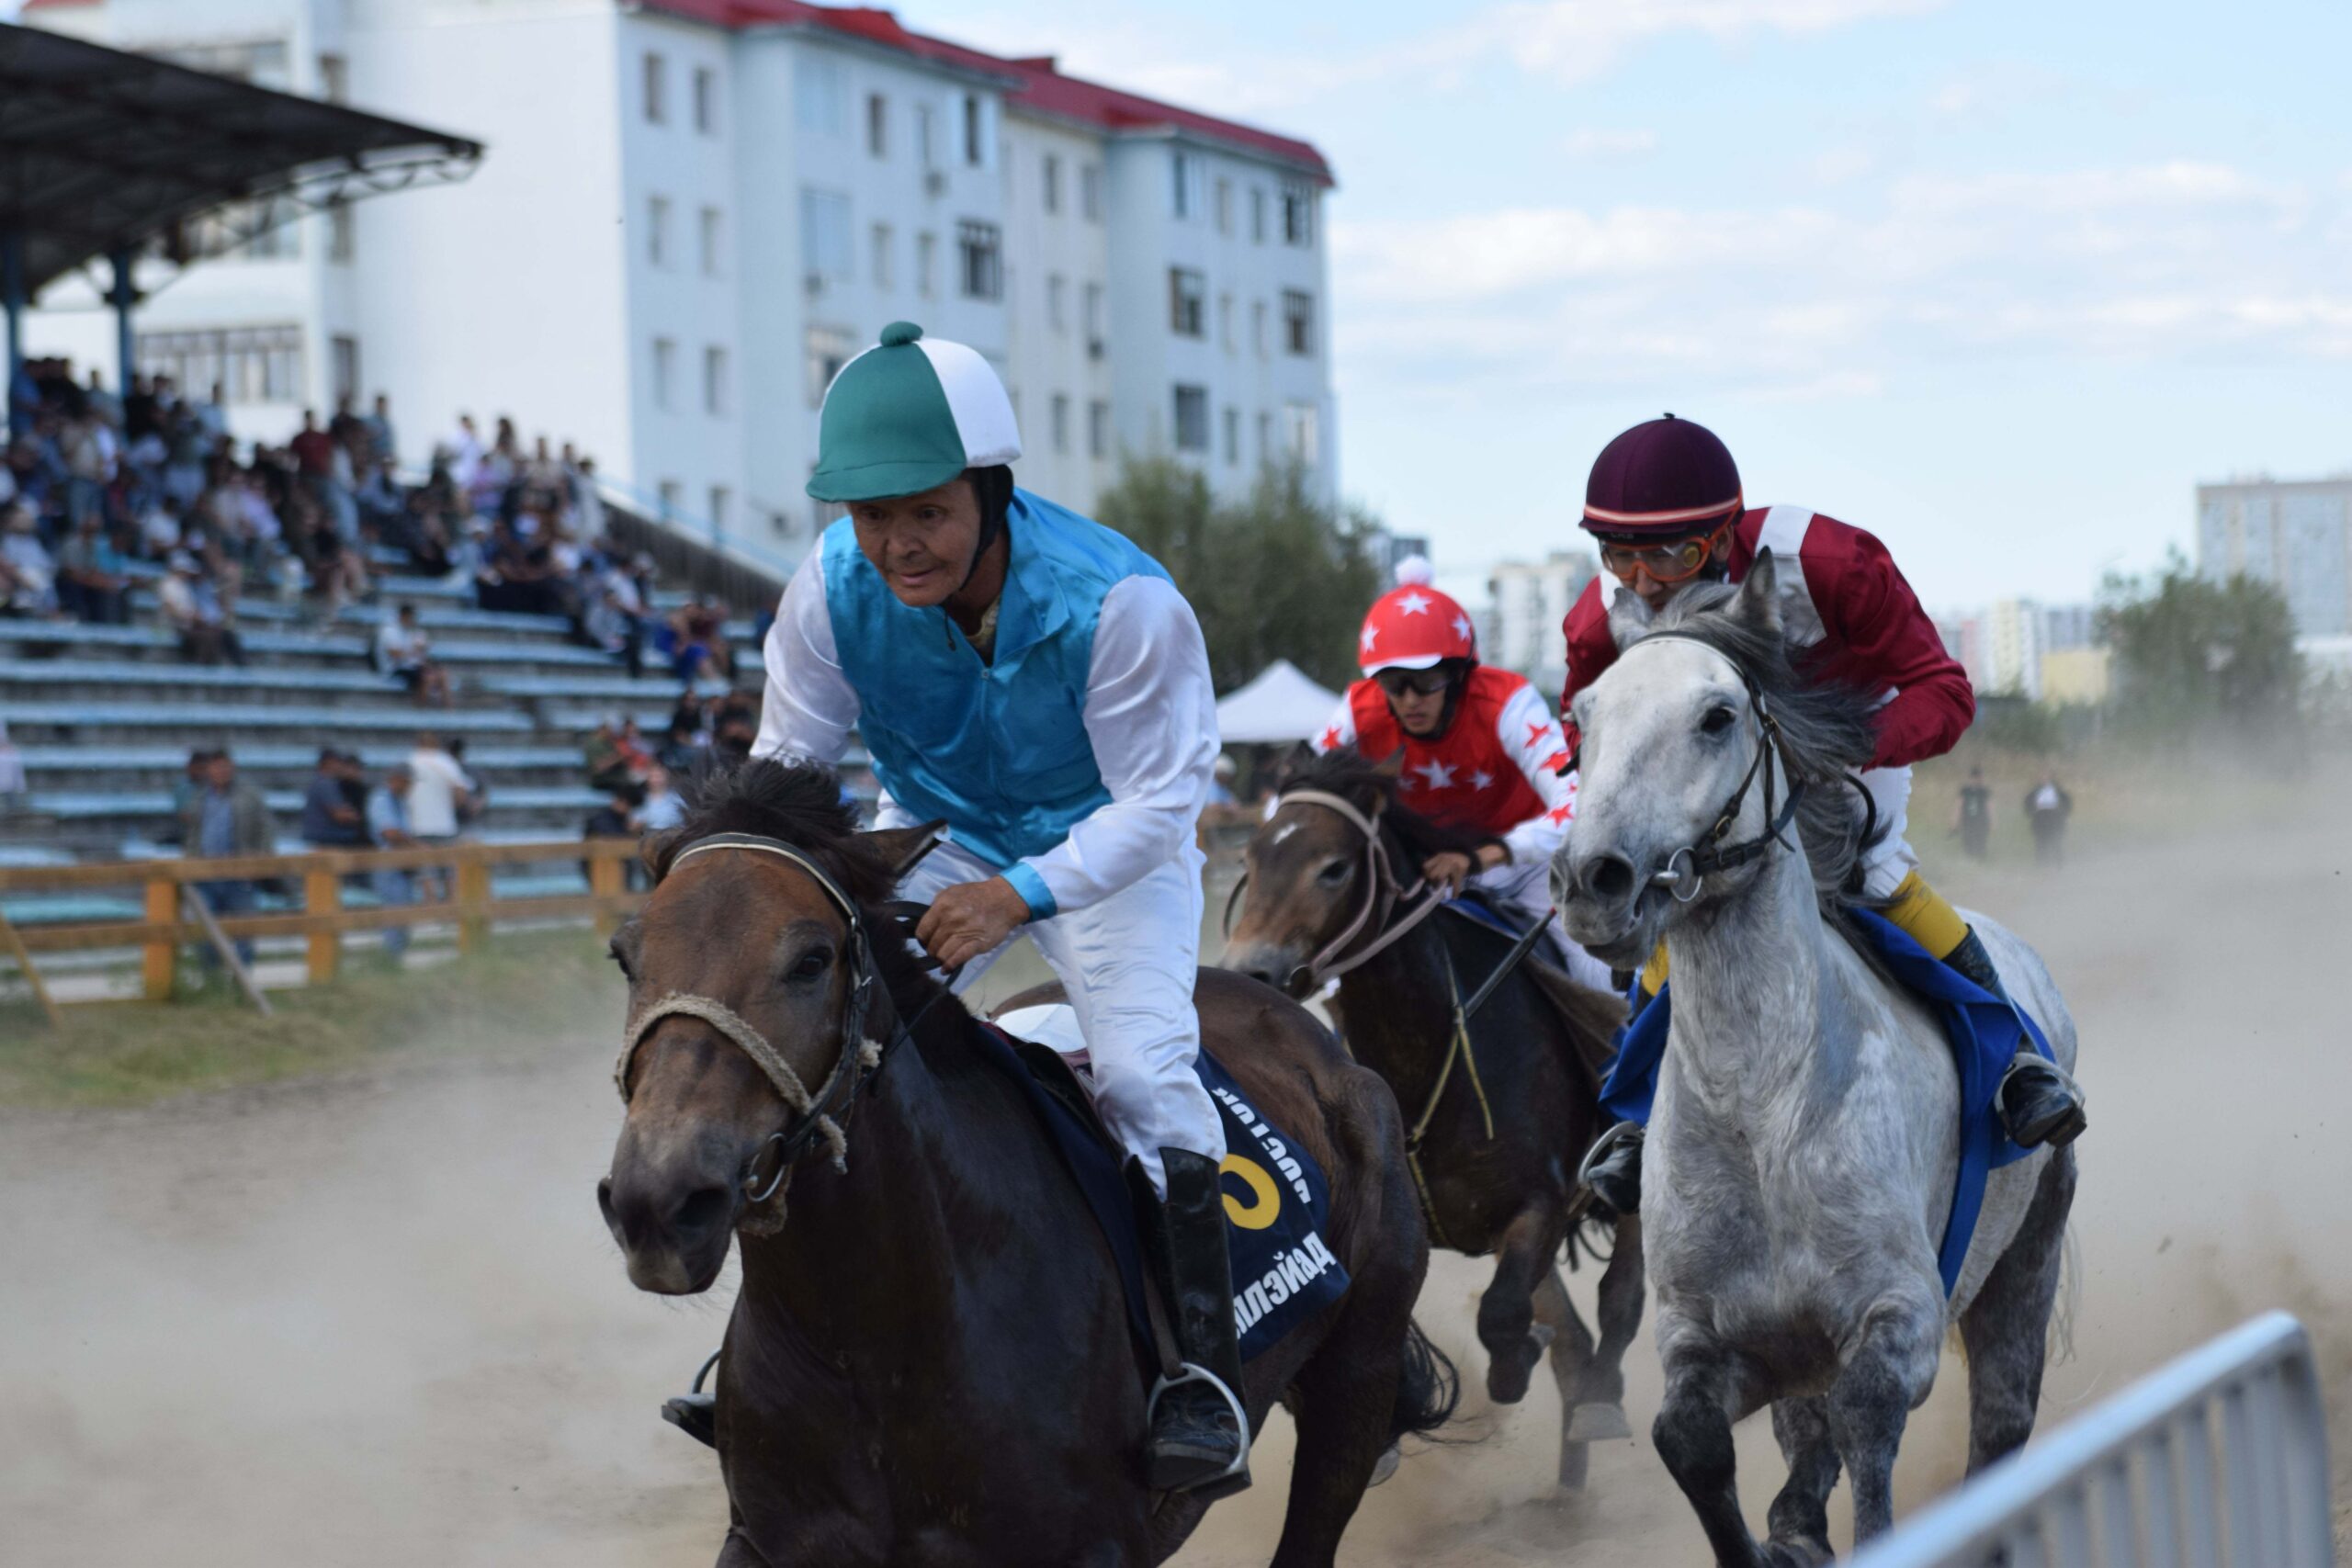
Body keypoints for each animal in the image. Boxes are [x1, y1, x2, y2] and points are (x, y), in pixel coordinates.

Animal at [597, 759, 1458, 1568]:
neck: (876, 1343)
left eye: (812, 958)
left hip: (1356, 1376)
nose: (660, 1201)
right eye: (625, 956)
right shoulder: (770, 1538)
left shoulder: (1092, 1545)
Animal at [1220, 748, 1646, 1491]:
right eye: (1253, 853)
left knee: (1622, 1291)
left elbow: (1504, 1315)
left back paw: (1600, 1399)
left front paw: (1515, 1365)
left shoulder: (1539, 1202)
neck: (1429, 1051)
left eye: (1334, 867)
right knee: (1575, 1340)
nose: (1255, 971)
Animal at [1551, 556, 2080, 1565]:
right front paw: (1780, 1535)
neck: (1760, 1104)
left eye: (1717, 716)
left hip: (2024, 1259)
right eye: (1583, 718)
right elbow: (1690, 1436)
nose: (1593, 879)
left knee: (1998, 1420)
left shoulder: (1899, 1317)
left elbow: (1861, 1418)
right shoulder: (1706, 1332)